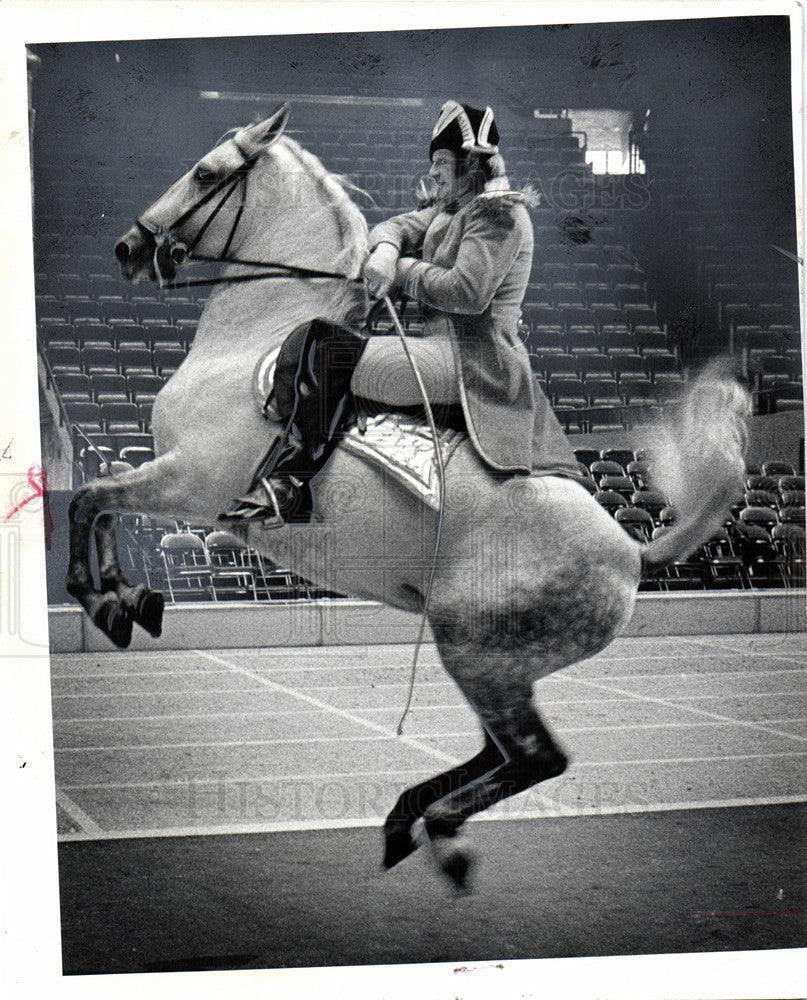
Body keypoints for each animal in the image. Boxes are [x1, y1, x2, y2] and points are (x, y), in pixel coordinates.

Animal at [66, 105, 756, 888]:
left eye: (206, 174)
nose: (127, 247)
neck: (254, 337)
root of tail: (632, 550)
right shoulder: (175, 481)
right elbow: (100, 505)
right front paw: (129, 601)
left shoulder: (191, 482)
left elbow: (89, 499)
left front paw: (105, 601)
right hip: (496, 661)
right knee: (498, 752)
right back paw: (408, 817)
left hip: (474, 649)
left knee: (535, 757)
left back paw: (441, 830)